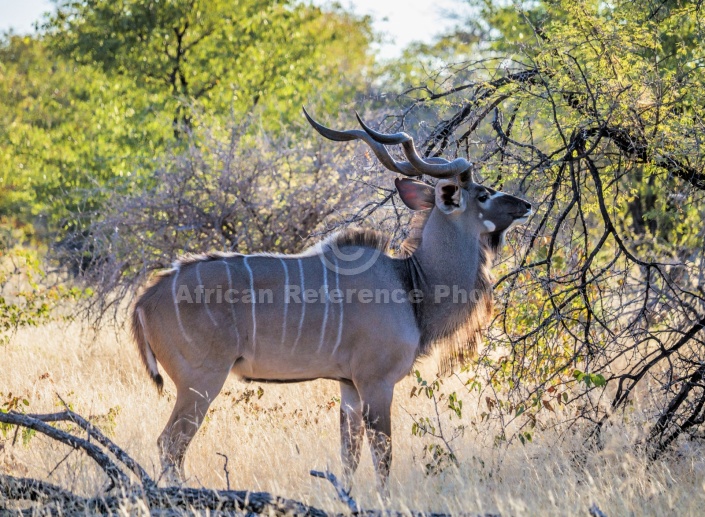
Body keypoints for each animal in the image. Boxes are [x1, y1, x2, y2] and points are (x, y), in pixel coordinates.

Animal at [129, 108, 532, 488]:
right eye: (483, 194)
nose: (525, 205)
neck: (411, 282)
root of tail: (145, 299)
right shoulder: (376, 382)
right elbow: (383, 457)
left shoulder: (349, 386)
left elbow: (349, 458)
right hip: (201, 382)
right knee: (169, 445)